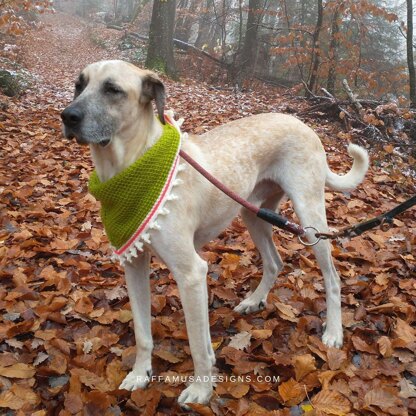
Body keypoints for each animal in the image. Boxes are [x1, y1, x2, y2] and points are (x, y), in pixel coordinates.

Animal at [61, 59, 368, 406]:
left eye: (112, 89)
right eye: (79, 85)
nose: (67, 116)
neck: (131, 165)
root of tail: (305, 125)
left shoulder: (192, 273)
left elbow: (198, 345)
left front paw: (201, 390)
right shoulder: (133, 264)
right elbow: (142, 333)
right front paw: (140, 375)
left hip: (309, 217)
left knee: (332, 277)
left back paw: (333, 332)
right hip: (253, 213)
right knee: (274, 262)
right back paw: (254, 301)